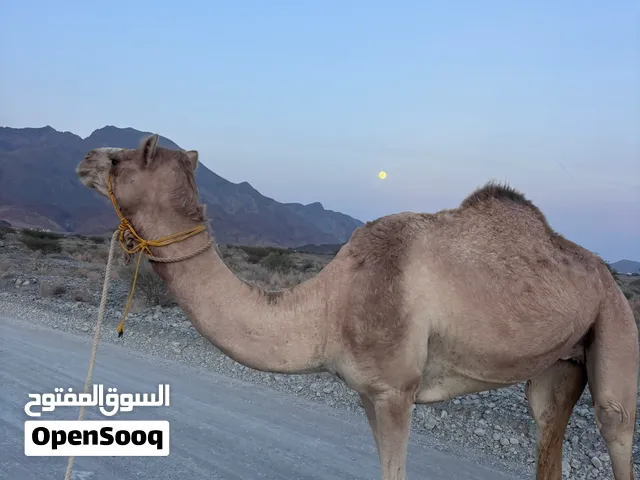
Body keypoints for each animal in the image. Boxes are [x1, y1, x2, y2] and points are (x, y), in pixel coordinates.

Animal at [76, 134, 638, 480]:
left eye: (125, 157)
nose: (85, 157)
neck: (329, 304)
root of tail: (601, 271)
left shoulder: (395, 390)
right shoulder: (366, 391)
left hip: (615, 320)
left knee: (615, 423)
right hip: (558, 364)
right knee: (548, 424)